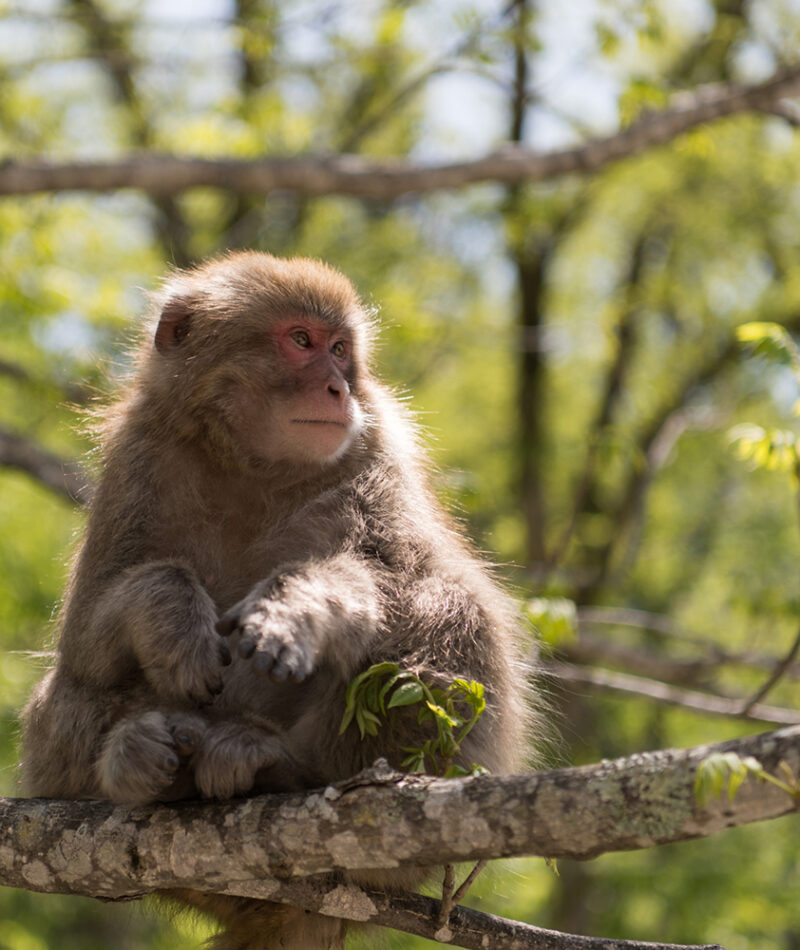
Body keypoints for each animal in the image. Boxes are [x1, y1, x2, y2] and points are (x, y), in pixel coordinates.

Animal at [21, 251, 533, 950]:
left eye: (341, 350)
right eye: (301, 341)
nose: (339, 389)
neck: (255, 464)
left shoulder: (376, 448)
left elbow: (403, 582)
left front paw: (298, 609)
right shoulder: (138, 457)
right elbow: (85, 636)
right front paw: (172, 621)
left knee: (451, 607)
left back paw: (282, 766)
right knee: (61, 701)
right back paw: (133, 759)